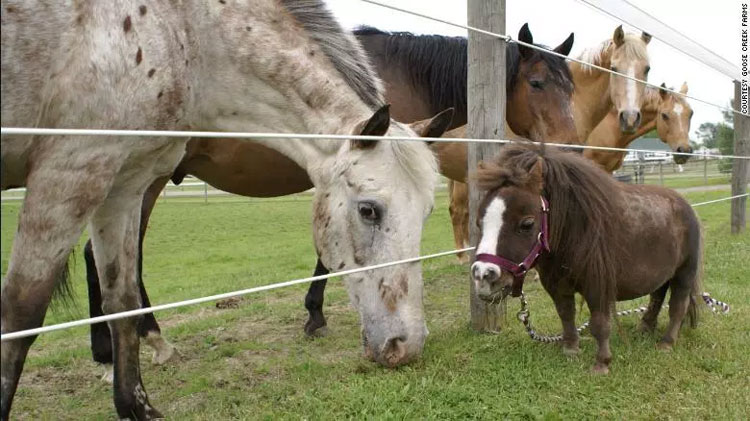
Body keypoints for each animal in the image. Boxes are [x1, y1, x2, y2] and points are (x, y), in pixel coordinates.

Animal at [0, 1, 453, 418]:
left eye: (427, 212)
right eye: (369, 210)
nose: (406, 344)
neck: (187, 37)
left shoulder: (126, 181)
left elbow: (122, 299)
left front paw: (136, 406)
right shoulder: (72, 169)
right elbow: (20, 314)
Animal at [82, 22, 580, 366]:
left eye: (572, 86)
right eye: (537, 82)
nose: (573, 145)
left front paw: (315, 315)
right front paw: (315, 317)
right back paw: (138, 343)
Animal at [470, 143, 702, 374]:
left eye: (526, 224)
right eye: (478, 222)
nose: (483, 275)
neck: (574, 233)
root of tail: (685, 205)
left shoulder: (597, 287)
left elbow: (599, 323)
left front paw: (602, 363)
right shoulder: (556, 285)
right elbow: (566, 314)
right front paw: (571, 349)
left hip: (684, 273)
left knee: (678, 306)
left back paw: (667, 342)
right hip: (662, 274)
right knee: (657, 297)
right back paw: (645, 327)